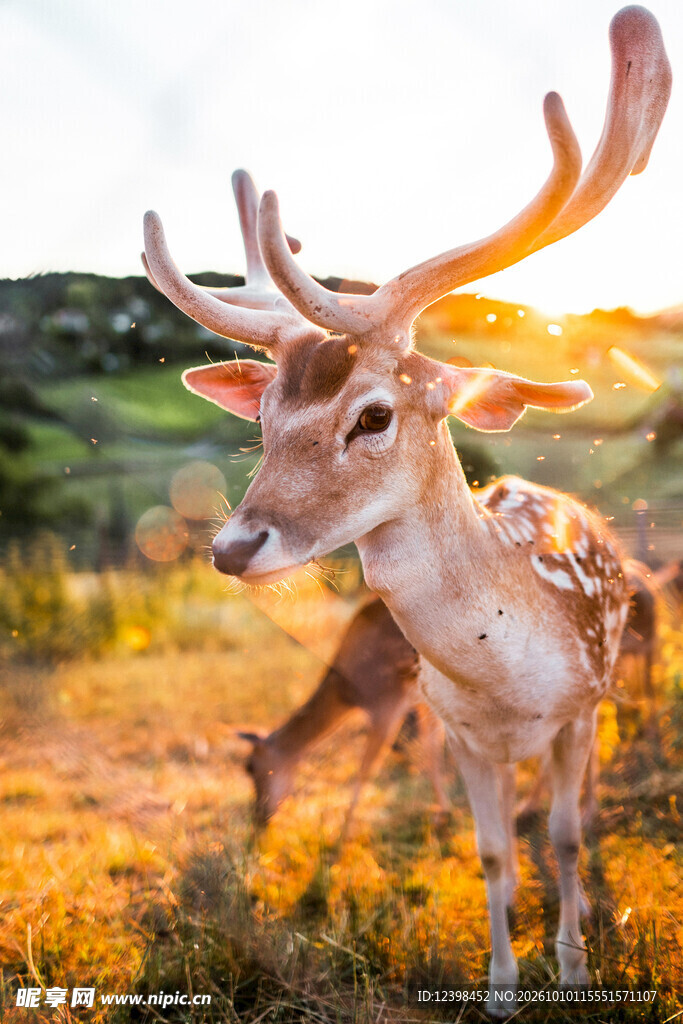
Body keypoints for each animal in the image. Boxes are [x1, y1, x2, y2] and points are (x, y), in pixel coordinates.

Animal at [238, 596, 449, 829]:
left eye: (249, 766)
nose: (260, 817)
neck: (347, 691)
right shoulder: (421, 702)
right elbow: (432, 750)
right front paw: (442, 816)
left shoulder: (386, 704)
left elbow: (365, 771)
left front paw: (342, 836)